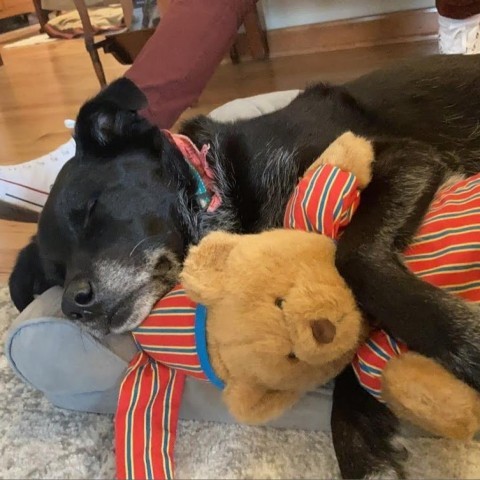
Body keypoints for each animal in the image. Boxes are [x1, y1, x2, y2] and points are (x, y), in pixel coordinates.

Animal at [10, 54, 480, 478]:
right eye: (55, 274)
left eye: (90, 209)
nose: (73, 305)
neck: (214, 183)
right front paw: (360, 440)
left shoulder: (404, 157)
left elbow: (353, 257)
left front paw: (462, 341)